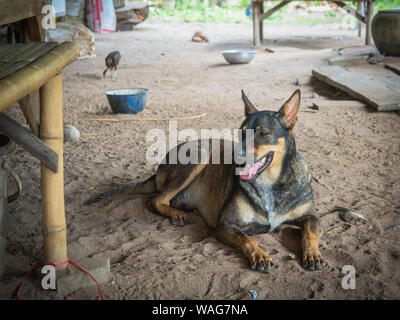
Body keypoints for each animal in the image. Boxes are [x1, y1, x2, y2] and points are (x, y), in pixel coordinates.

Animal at [87, 89, 324, 270]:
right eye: (241, 132)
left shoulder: (311, 216)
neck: (271, 183)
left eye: (262, 133)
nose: (236, 158)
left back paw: (183, 206)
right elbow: (247, 238)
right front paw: (260, 255)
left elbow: (310, 233)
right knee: (155, 200)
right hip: (199, 155)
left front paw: (313, 254)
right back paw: (175, 212)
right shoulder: (225, 224)